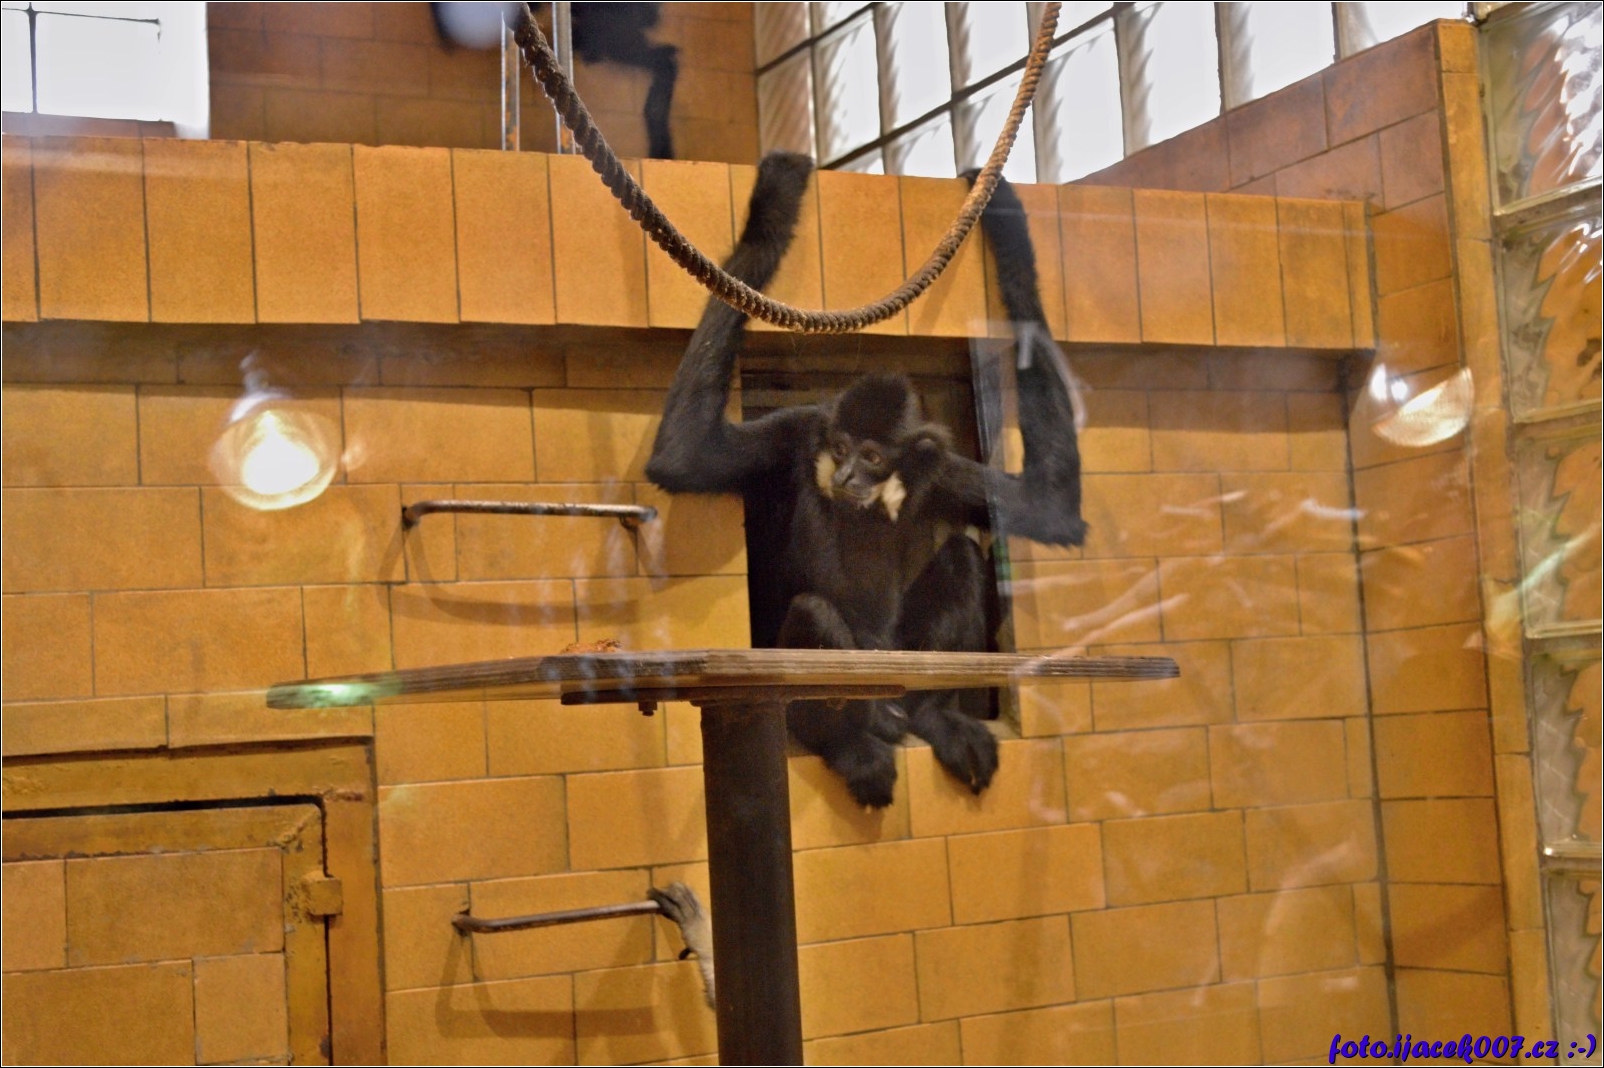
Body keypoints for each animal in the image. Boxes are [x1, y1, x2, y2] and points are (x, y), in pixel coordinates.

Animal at [646, 153, 1085, 808]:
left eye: (874, 456)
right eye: (842, 447)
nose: (849, 472)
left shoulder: (939, 471)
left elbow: (1049, 508)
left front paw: (1000, 208)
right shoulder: (797, 435)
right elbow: (684, 453)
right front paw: (772, 210)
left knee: (961, 556)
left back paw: (935, 717)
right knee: (815, 614)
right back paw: (852, 745)